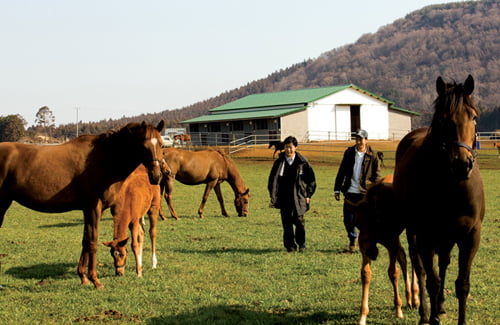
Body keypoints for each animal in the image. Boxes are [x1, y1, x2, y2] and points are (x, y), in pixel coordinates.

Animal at [0, 120, 168, 288]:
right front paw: (95, 280)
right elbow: (93, 242)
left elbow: (86, 241)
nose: (156, 176)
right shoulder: (93, 208)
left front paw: (84, 277)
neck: (103, 159)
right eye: (143, 145)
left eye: (161, 144)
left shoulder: (91, 210)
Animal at [344, 175, 418, 324]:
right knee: (403, 256)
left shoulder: (391, 242)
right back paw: (408, 298)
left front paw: (398, 310)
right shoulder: (367, 245)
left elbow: (393, 272)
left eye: (374, 220)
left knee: (413, 256)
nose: (371, 252)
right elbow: (366, 274)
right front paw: (363, 316)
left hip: (411, 229)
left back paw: (415, 298)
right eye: (357, 223)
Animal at [394, 74, 484, 322]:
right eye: (443, 120)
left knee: (443, 263)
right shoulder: (425, 235)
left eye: (474, 117)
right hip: (416, 233)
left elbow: (462, 284)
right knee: (420, 268)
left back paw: (441, 305)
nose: (462, 164)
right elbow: (431, 281)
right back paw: (425, 312)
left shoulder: (470, 236)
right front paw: (431, 317)